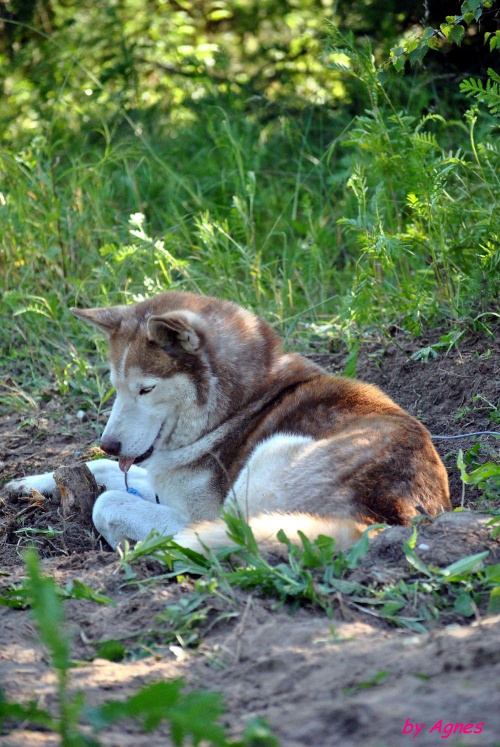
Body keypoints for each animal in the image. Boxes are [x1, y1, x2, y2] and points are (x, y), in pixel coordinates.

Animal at [6, 290, 454, 548]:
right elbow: (99, 469)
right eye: (115, 385)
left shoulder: (197, 507)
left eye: (146, 389)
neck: (239, 404)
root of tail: (398, 518)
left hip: (268, 462)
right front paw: (29, 483)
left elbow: (108, 500)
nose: (110, 443)